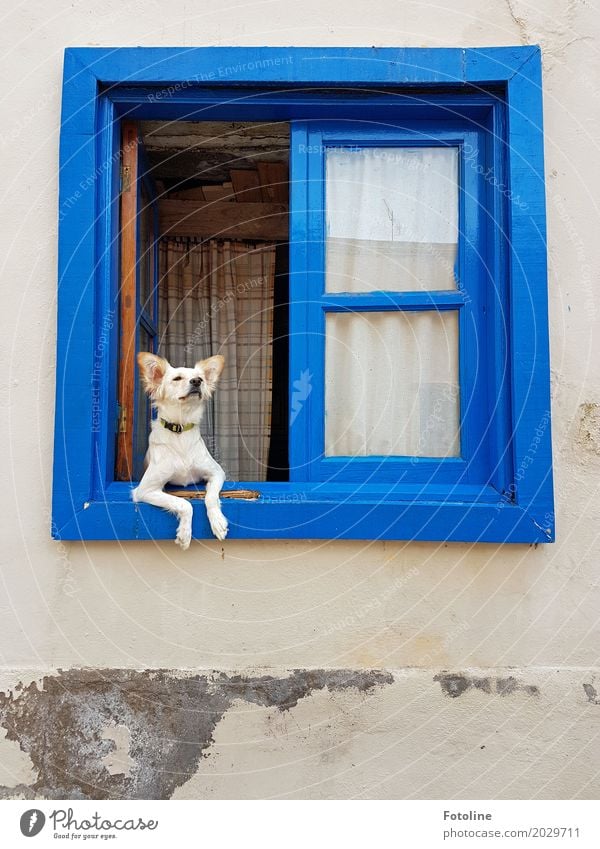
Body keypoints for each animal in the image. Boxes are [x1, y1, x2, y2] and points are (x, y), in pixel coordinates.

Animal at [132, 348, 229, 548]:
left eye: (200, 378)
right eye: (177, 378)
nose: (197, 381)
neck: (180, 430)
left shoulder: (217, 472)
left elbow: (210, 497)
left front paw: (217, 521)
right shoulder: (144, 489)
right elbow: (185, 503)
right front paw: (185, 533)